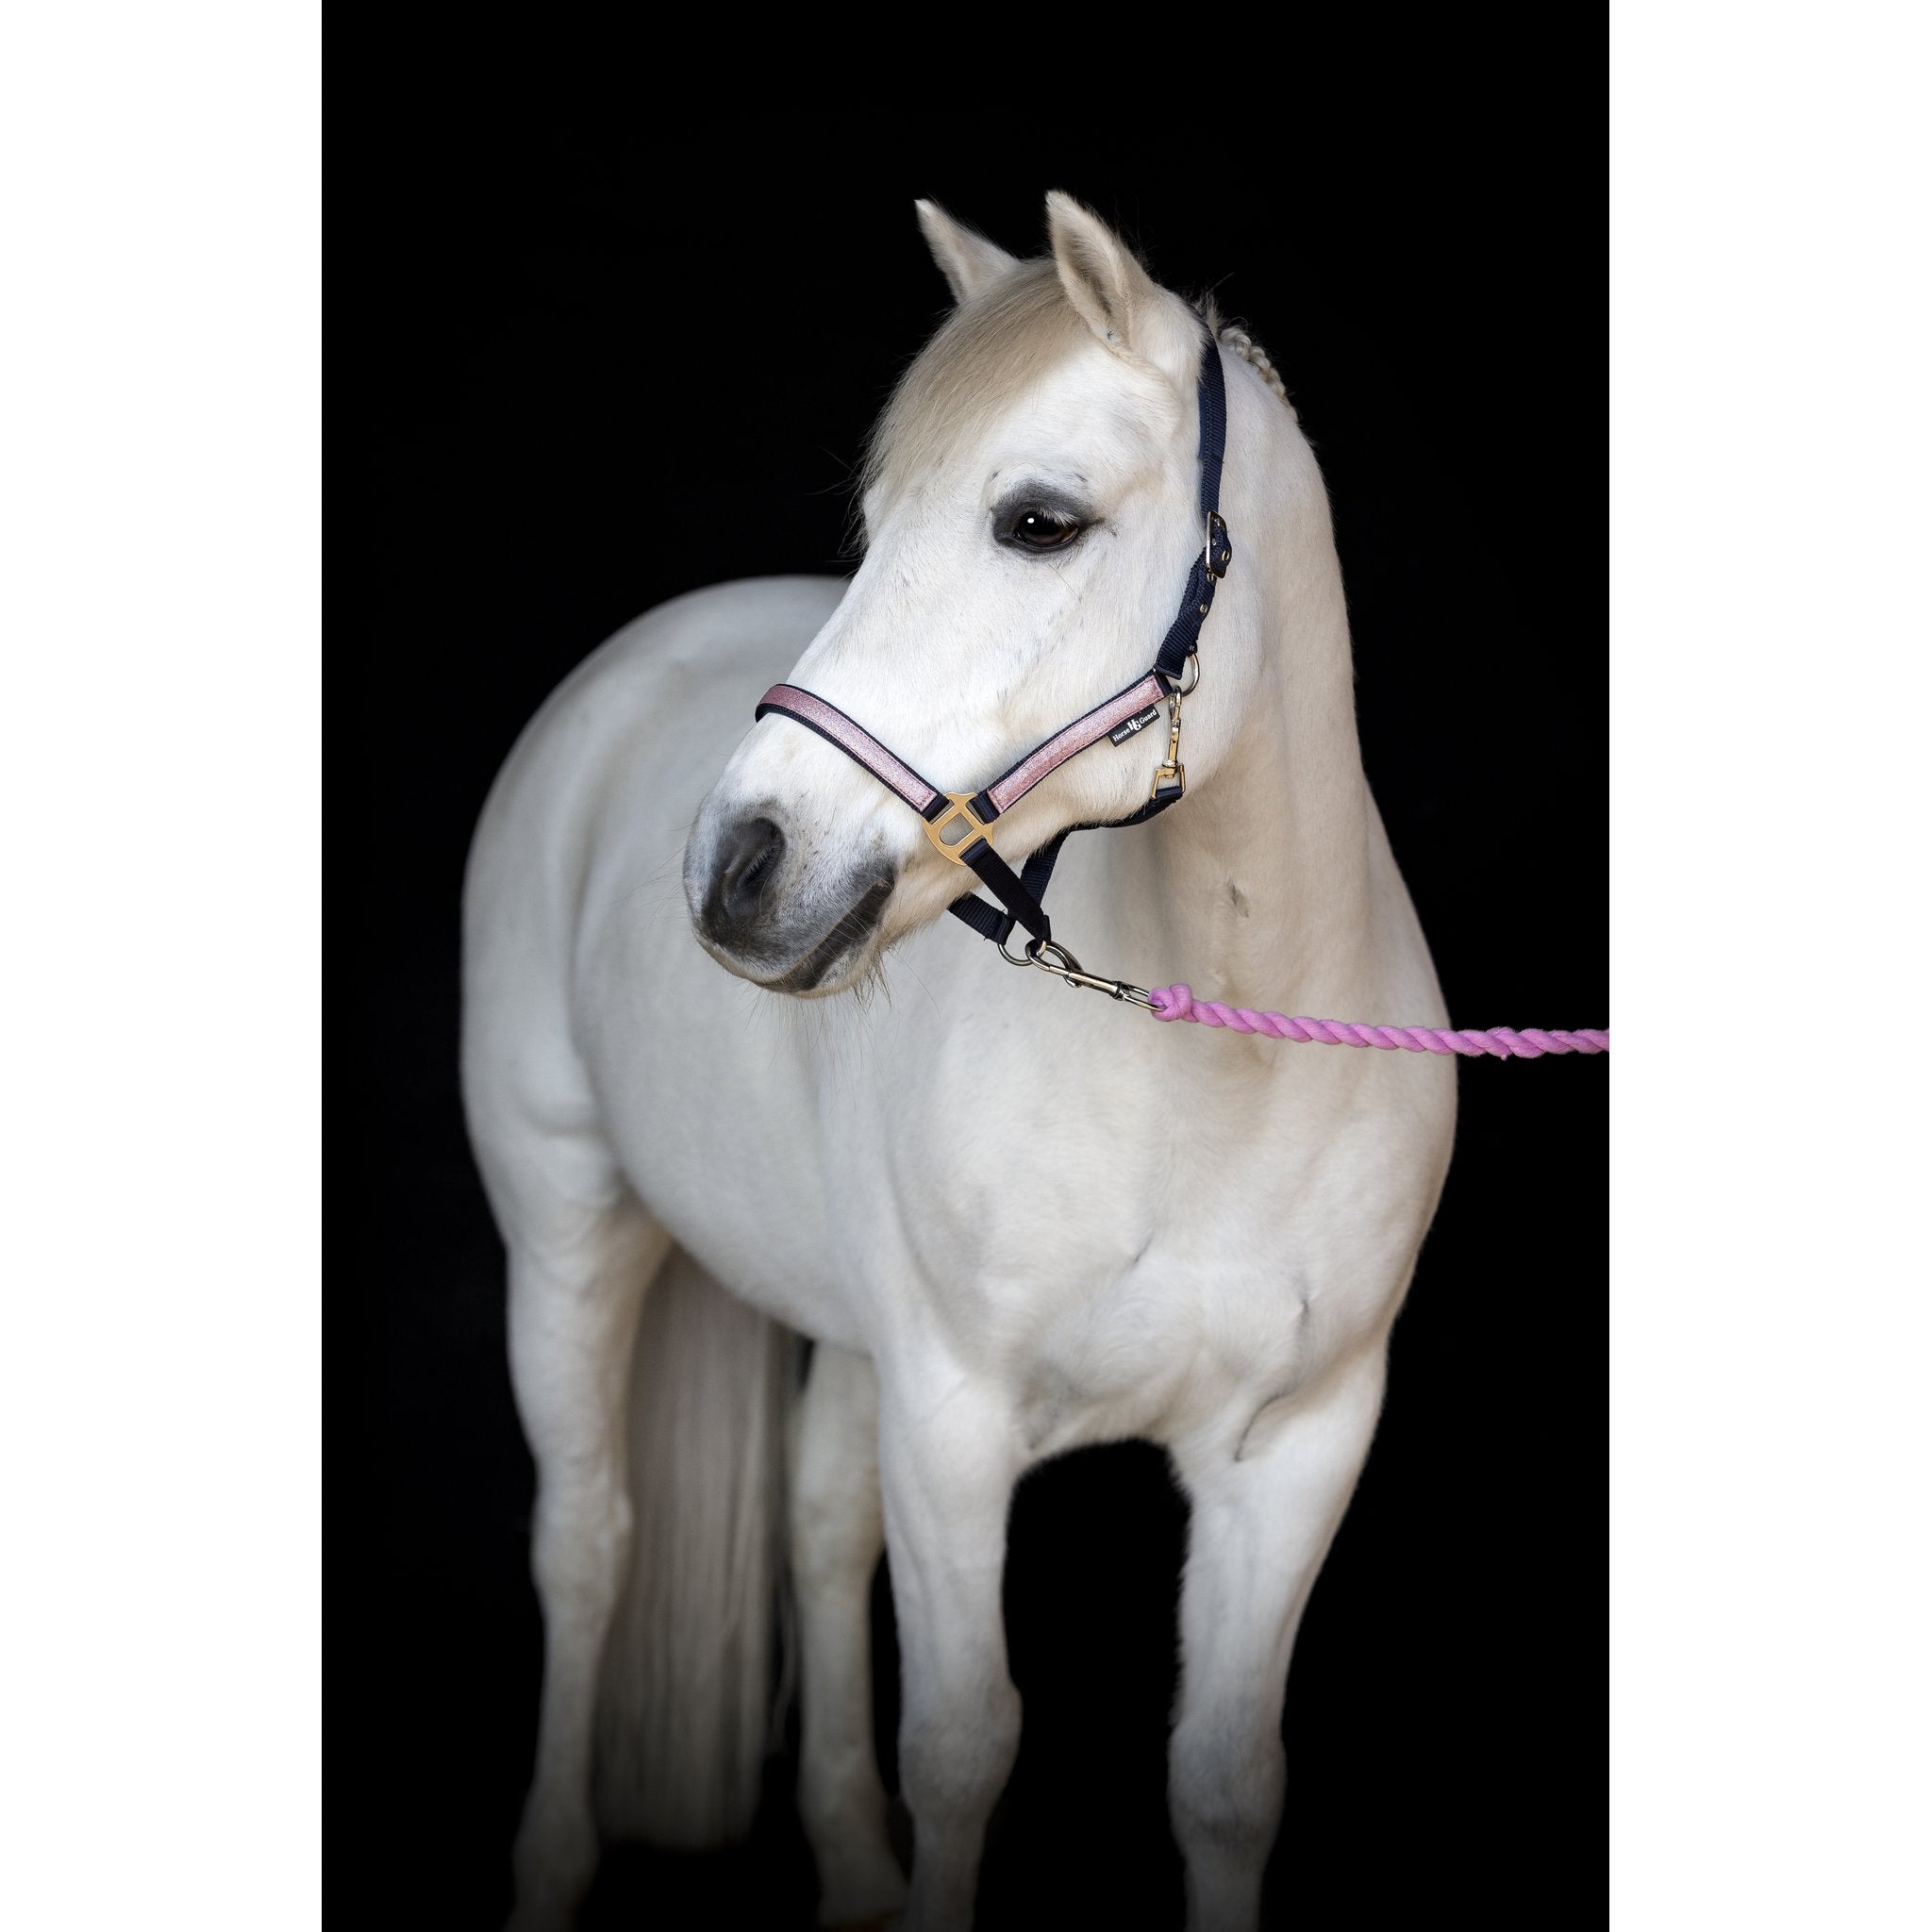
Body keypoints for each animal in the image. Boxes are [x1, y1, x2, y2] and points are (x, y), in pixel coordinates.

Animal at [461, 191, 1457, 1932]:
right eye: (873, 522)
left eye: (1038, 521)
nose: (739, 867)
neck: (1224, 1067)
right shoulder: (954, 1420)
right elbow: (963, 1751)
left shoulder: (1300, 1443)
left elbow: (1224, 1779)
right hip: (569, 1234)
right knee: (587, 1544)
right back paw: (553, 1869)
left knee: (810, 1527)